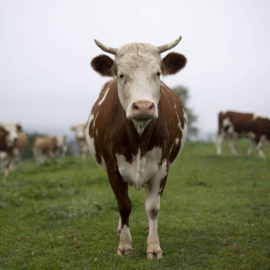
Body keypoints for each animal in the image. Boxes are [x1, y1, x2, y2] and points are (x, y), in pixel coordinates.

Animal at [85, 36, 187, 260]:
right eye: (121, 74)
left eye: (158, 73)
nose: (142, 107)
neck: (138, 138)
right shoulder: (112, 167)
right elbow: (124, 205)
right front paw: (124, 244)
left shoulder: (162, 166)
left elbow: (153, 207)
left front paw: (154, 247)